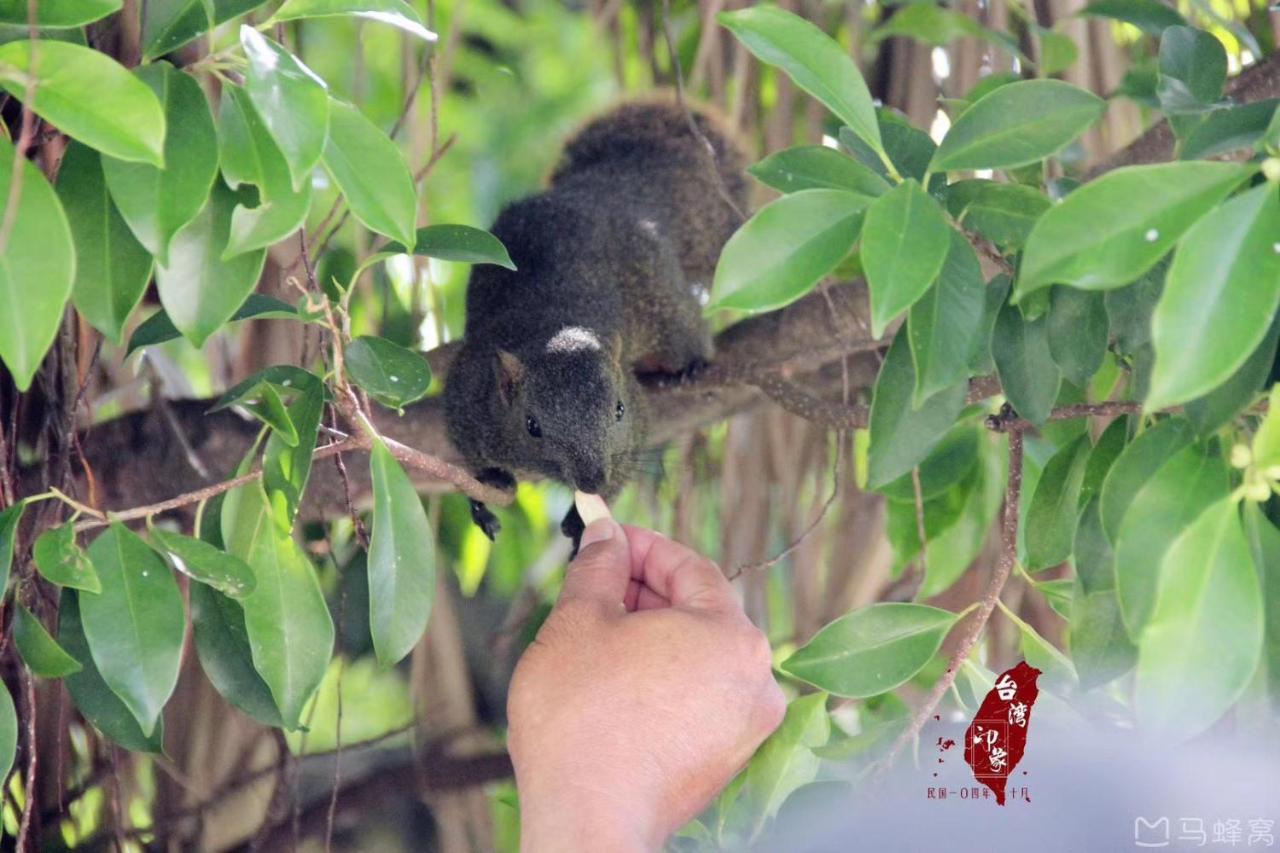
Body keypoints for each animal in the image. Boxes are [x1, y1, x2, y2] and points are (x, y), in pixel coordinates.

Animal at [445, 99, 747, 548]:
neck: (556, 324)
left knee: (688, 333)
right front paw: (483, 496)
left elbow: (627, 460)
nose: (592, 479)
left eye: (619, 410)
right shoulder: (467, 400)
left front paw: (582, 520)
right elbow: (469, 459)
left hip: (664, 304)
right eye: (533, 426)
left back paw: (688, 366)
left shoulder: (634, 424)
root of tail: (613, 188)